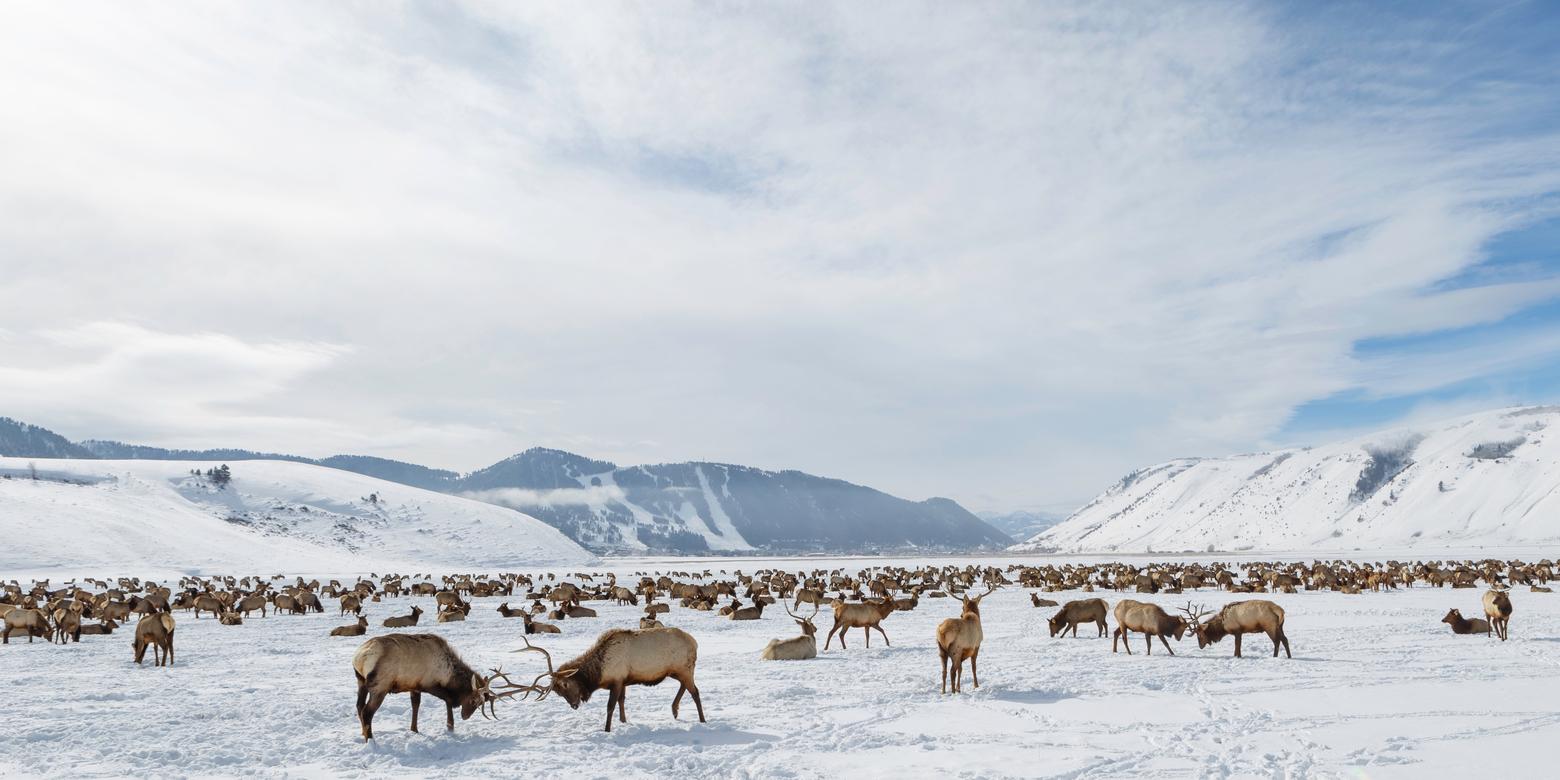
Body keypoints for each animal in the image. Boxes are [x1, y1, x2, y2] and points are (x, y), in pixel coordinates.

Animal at [351, 633, 527, 736]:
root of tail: (359, 657)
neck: (448, 673)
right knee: (367, 712)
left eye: (479, 705)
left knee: (359, 706)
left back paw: (363, 734)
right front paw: (450, 726)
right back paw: (370, 740)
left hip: (361, 681)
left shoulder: (414, 685)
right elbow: (448, 700)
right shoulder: (429, 684)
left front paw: (414, 729)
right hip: (380, 685)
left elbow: (416, 705)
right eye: (474, 700)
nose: (465, 716)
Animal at [505, 630, 708, 733]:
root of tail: (695, 642)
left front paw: (607, 728)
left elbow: (611, 706)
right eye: (557, 692)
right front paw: (624, 721)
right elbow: (622, 701)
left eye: (565, 684)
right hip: (676, 671)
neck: (598, 672)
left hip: (685, 668)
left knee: (695, 692)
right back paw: (674, 710)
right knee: (685, 686)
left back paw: (702, 719)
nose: (574, 705)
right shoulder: (623, 681)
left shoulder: (617, 680)